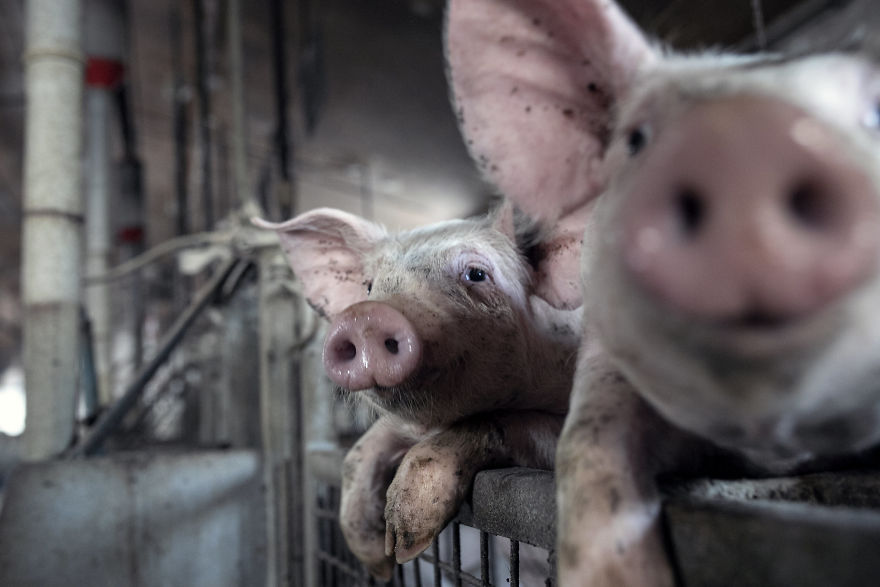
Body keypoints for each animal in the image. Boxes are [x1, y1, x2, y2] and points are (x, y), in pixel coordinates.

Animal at [254, 204, 580, 579]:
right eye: (369, 286)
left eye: (476, 274)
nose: (366, 316)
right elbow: (361, 451)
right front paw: (379, 562)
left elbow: (495, 424)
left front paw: (406, 545)